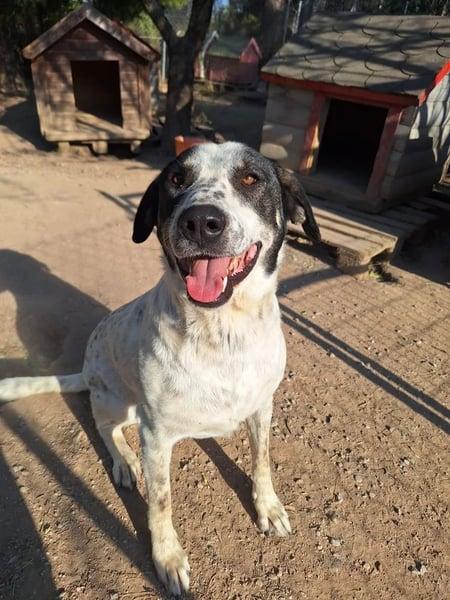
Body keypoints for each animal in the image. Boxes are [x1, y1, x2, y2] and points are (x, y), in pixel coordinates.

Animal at [0, 142, 320, 596]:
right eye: (176, 180)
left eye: (251, 178)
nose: (201, 222)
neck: (223, 331)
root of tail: (85, 370)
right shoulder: (156, 435)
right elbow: (161, 502)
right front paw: (167, 558)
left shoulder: (262, 407)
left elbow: (261, 459)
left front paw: (268, 506)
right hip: (117, 400)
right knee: (105, 426)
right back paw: (124, 461)